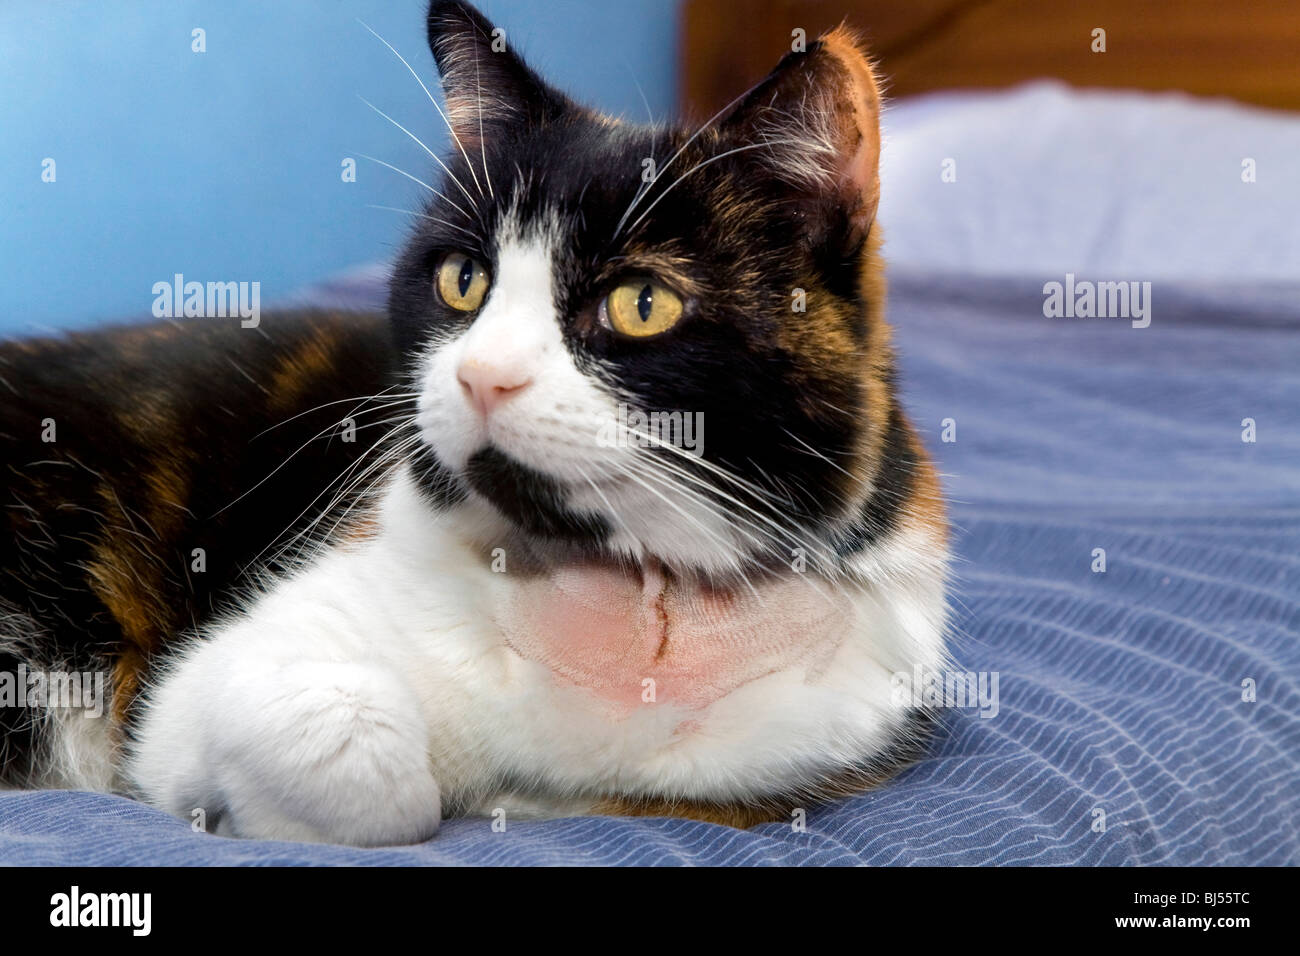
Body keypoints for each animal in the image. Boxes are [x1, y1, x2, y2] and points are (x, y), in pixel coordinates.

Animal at [2, 0, 956, 842]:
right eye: (463, 279)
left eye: (641, 302)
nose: (480, 375)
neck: (633, 591)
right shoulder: (212, 685)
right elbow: (365, 763)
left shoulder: (812, 741)